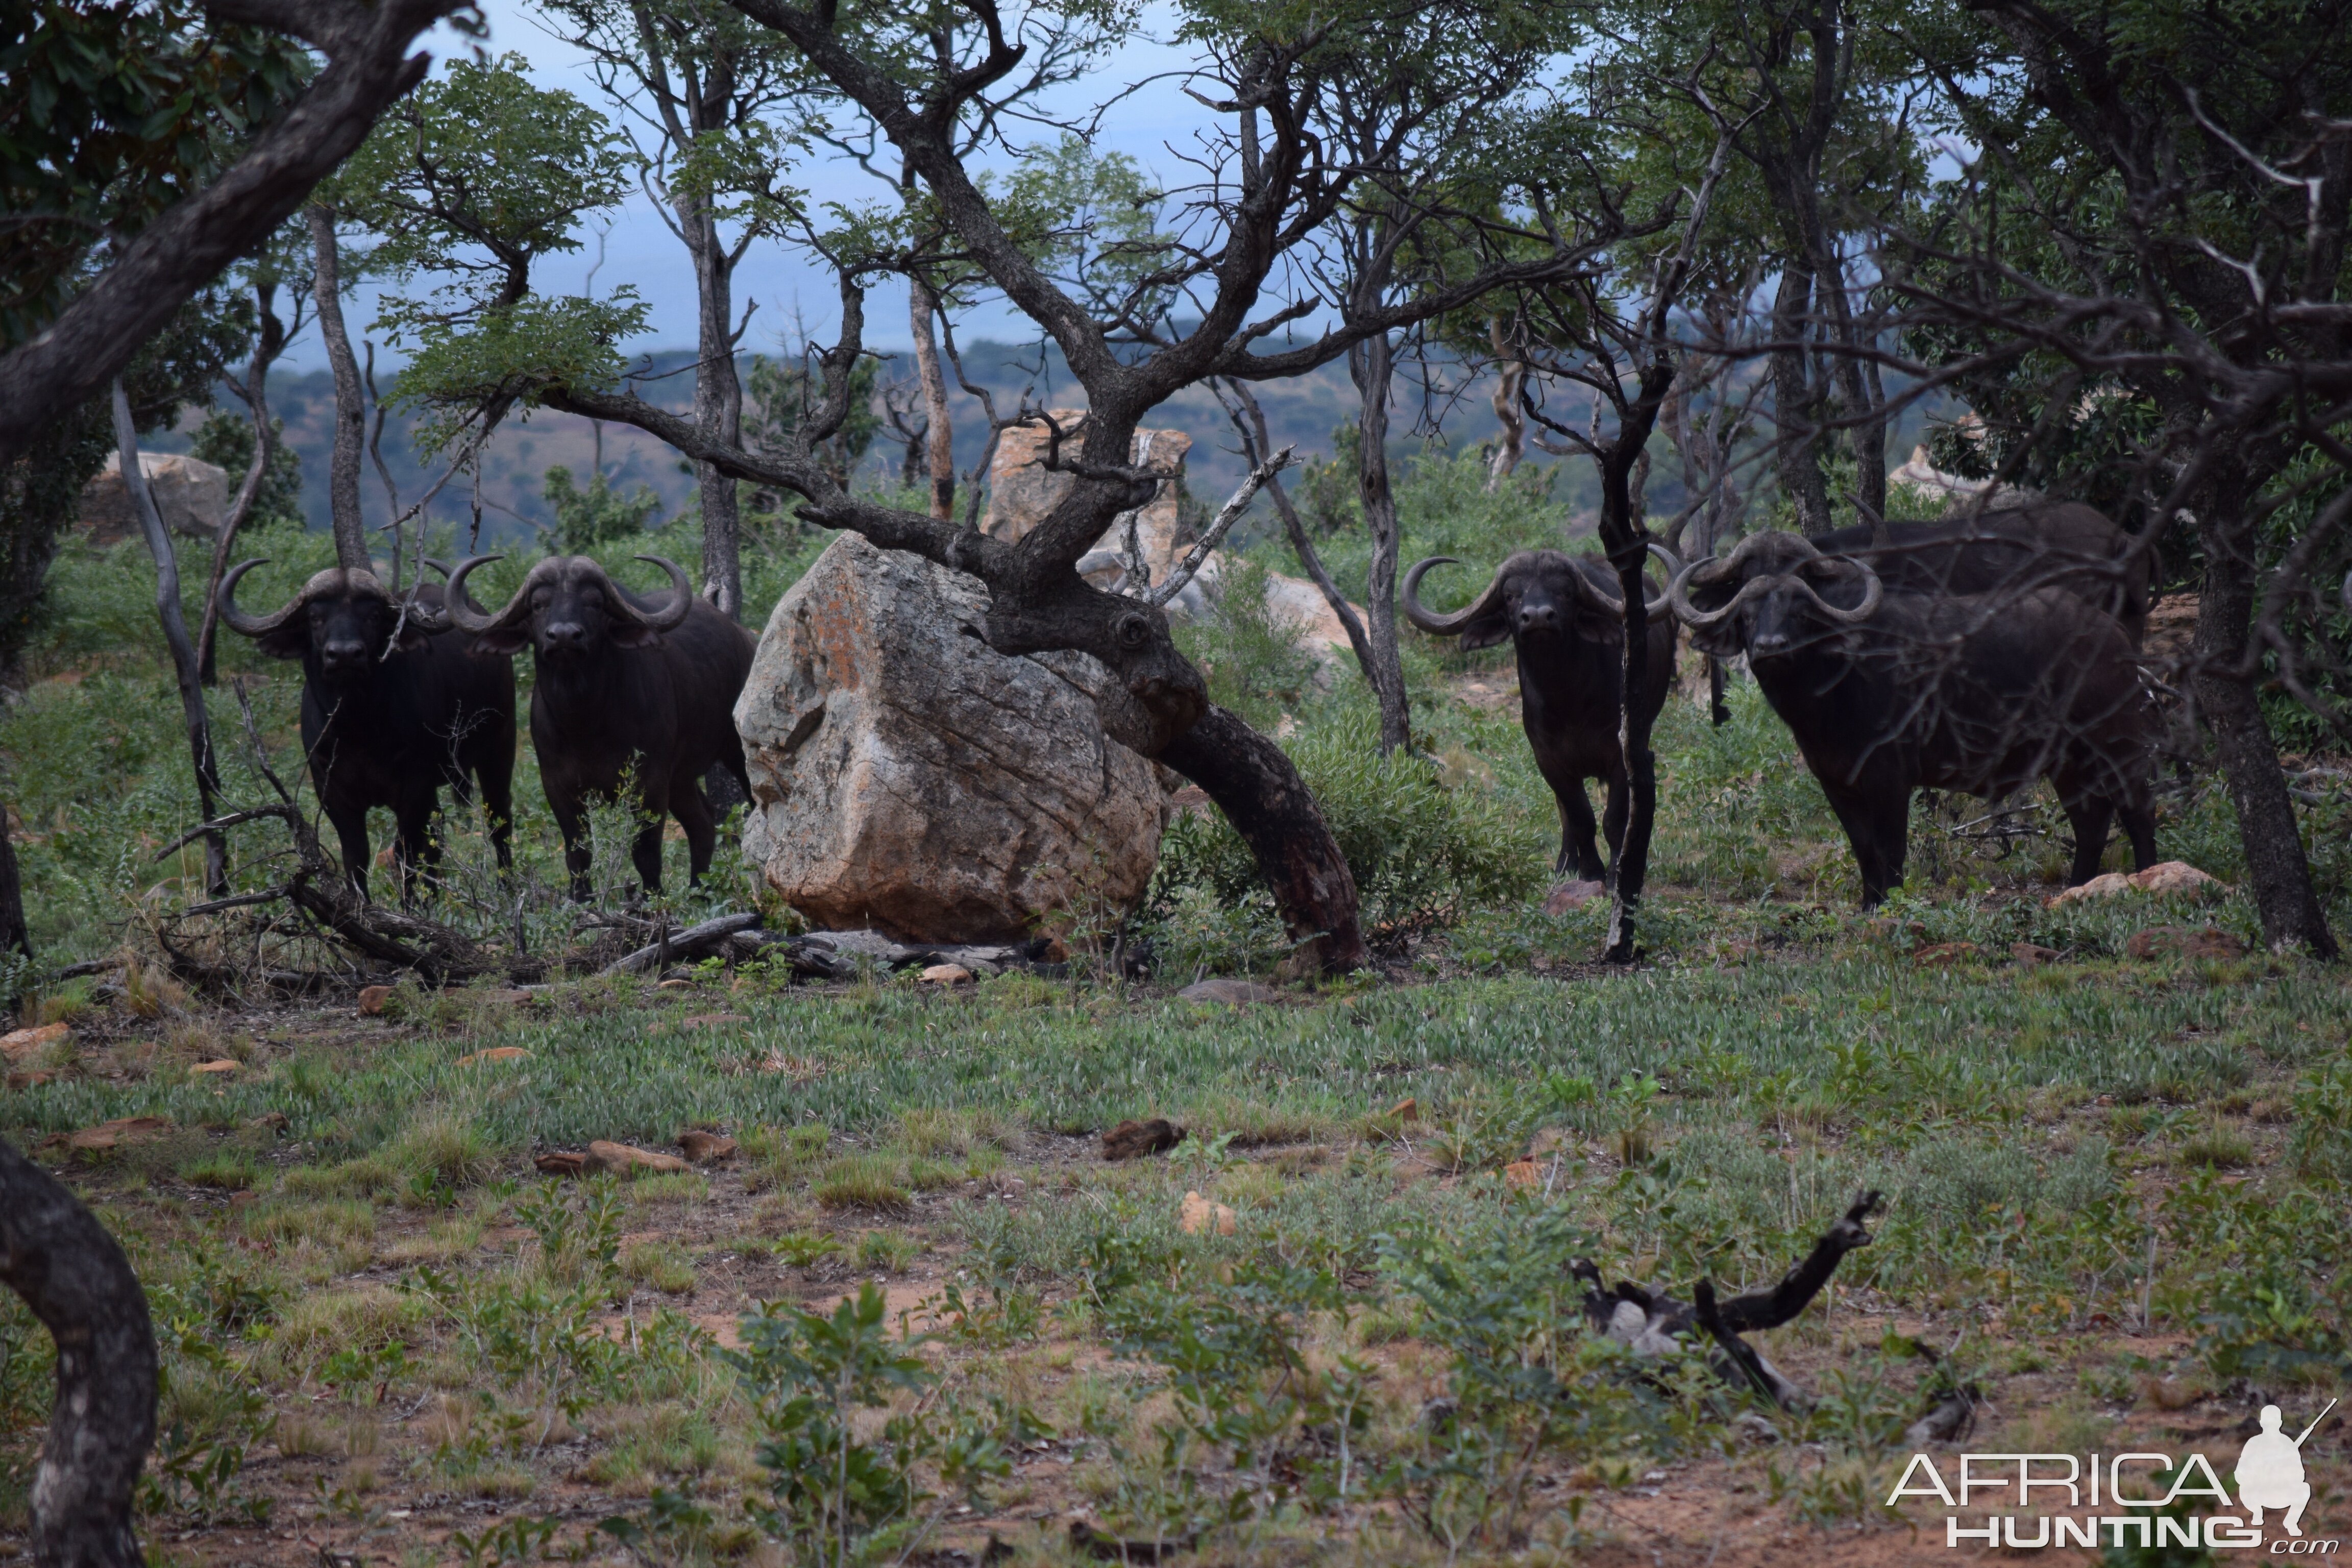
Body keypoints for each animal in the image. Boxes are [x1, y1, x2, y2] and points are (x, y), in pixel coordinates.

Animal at [218, 564, 517, 893]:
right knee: (439, 834)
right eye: (315, 617)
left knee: (498, 820)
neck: (359, 730)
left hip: (499, 749)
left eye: (373, 615)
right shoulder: (332, 794)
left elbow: (407, 855)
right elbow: (356, 857)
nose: (345, 654)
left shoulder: (415, 790)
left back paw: (506, 888)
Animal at [447, 554, 752, 902]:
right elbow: (578, 853)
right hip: (681, 779)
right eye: (538, 604)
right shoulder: (558, 786)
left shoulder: (650, 783)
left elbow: (646, 853)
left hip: (736, 754)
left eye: (594, 603)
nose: (564, 636)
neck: (586, 724)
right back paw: (699, 892)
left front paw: (652, 900)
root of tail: (745, 638)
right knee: (702, 822)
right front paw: (582, 899)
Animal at [1402, 550, 1684, 884]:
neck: (1568, 701)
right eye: (1511, 596)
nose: (1537, 617)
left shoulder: (1621, 756)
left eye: (1565, 592)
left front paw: (1616, 873)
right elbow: (1579, 817)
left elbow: (1614, 820)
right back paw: (1565, 864)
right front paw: (1589, 871)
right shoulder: (1548, 760)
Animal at [1674, 533, 2154, 907]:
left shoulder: (1890, 778)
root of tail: (2112, 633)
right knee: (2091, 822)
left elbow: (1891, 848)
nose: (1771, 646)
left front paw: (1891, 904)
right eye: (1746, 611)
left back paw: (2147, 876)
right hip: (2069, 762)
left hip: (2116, 742)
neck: (1833, 684)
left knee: (2137, 808)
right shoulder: (1835, 781)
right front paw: (1869, 904)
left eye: (1798, 610)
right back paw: (2077, 887)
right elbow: (1863, 847)